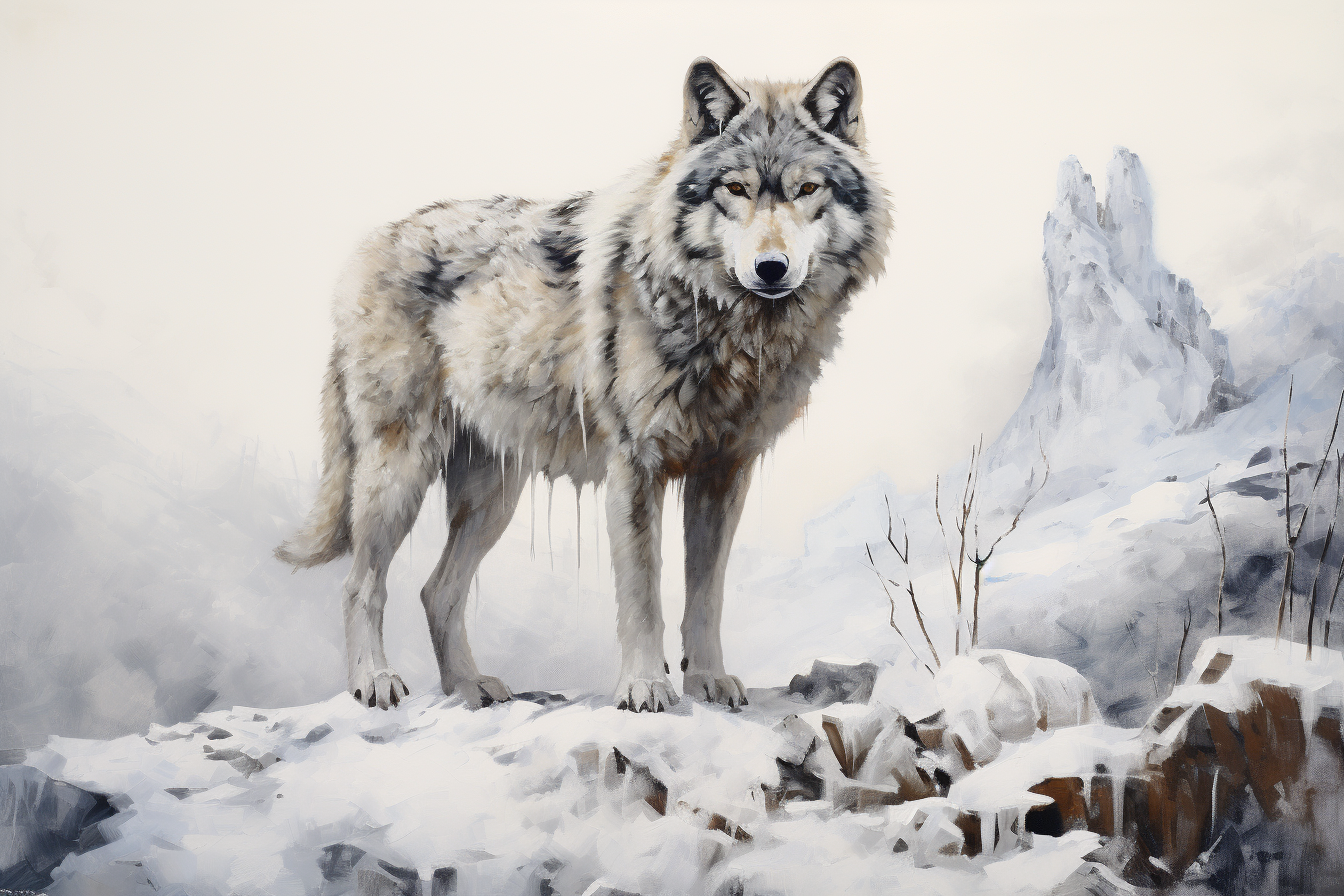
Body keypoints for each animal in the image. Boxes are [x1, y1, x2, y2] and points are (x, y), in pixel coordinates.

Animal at [276, 57, 891, 712]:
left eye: (807, 190)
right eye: (736, 189)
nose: (771, 269)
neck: (724, 327)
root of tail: (368, 246)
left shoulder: (723, 472)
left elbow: (706, 595)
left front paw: (707, 680)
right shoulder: (636, 468)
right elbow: (642, 595)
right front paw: (645, 687)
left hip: (492, 497)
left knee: (436, 591)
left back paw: (468, 687)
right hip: (400, 474)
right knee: (360, 584)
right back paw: (374, 680)